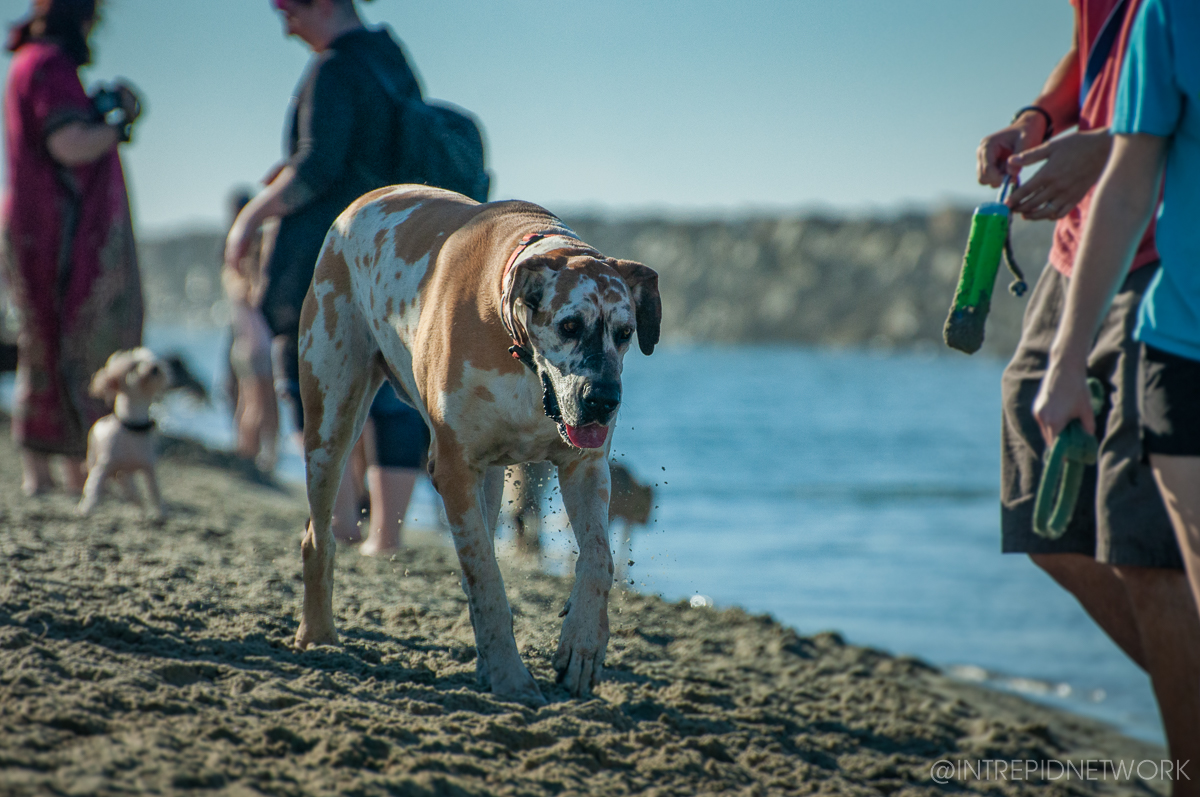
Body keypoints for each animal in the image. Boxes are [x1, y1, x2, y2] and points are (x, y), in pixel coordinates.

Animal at [78, 348, 171, 516]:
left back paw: (139, 510)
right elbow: (94, 488)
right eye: (134, 366)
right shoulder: (103, 466)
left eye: (153, 360)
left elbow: (154, 491)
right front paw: (87, 509)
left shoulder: (148, 467)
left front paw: (161, 513)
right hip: (96, 459)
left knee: (132, 492)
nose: (155, 368)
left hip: (125, 474)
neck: (132, 426)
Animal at [295, 184, 662, 705]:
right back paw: (318, 633)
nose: (604, 401)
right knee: (318, 533)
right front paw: (510, 676)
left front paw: (583, 644)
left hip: (488, 478)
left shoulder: (585, 468)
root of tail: (363, 199)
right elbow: (486, 580)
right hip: (331, 421)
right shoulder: (452, 468)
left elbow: (598, 560)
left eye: (625, 333)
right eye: (570, 325)